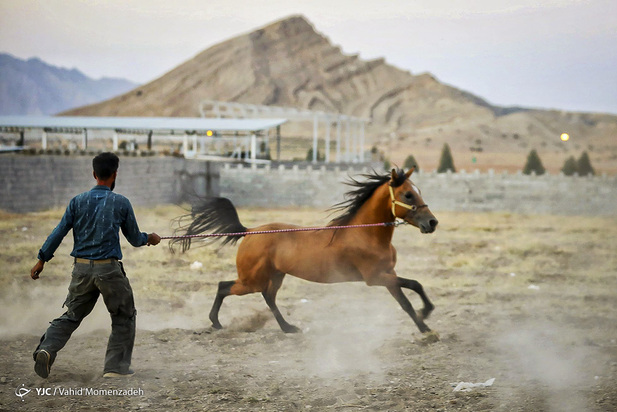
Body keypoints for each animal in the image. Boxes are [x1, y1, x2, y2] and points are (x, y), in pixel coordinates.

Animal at [173, 167, 438, 334]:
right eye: (408, 194)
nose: (432, 223)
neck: (365, 234)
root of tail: (249, 232)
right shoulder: (375, 278)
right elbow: (413, 287)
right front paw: (427, 315)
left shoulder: (388, 275)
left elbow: (408, 298)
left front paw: (426, 324)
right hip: (251, 280)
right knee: (224, 287)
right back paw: (216, 323)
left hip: (274, 276)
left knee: (268, 297)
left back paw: (287, 328)